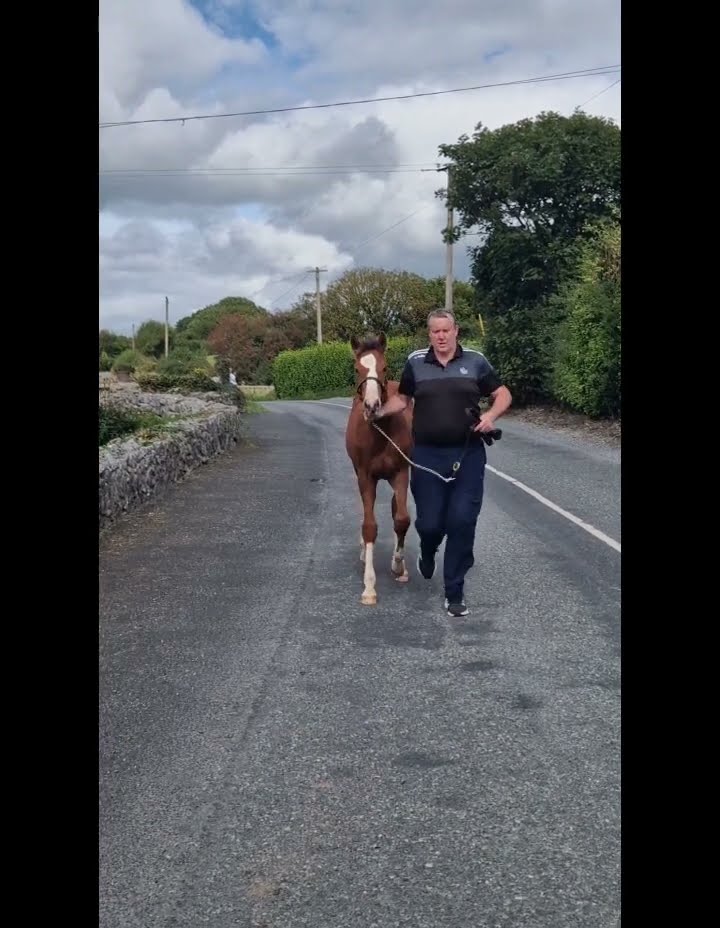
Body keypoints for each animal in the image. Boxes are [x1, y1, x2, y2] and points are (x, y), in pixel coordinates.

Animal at [345, 333, 414, 605]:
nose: (372, 405)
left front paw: (399, 565)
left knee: (397, 509)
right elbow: (369, 526)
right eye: (357, 368)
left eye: (384, 367)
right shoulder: (365, 476)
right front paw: (369, 587)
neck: (379, 432)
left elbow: (402, 519)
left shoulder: (401, 473)